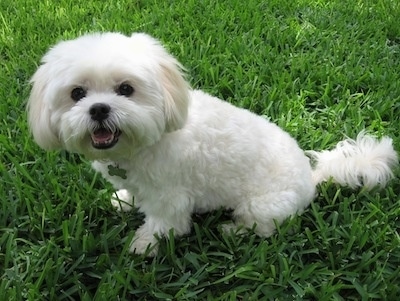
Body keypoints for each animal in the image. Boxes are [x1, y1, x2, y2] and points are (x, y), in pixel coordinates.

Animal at [27, 31, 396, 254]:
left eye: (126, 89)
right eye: (77, 93)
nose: (99, 109)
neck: (145, 142)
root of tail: (312, 177)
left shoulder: (170, 196)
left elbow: (164, 223)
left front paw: (144, 244)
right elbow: (134, 195)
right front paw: (125, 201)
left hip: (262, 205)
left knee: (265, 228)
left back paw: (234, 231)